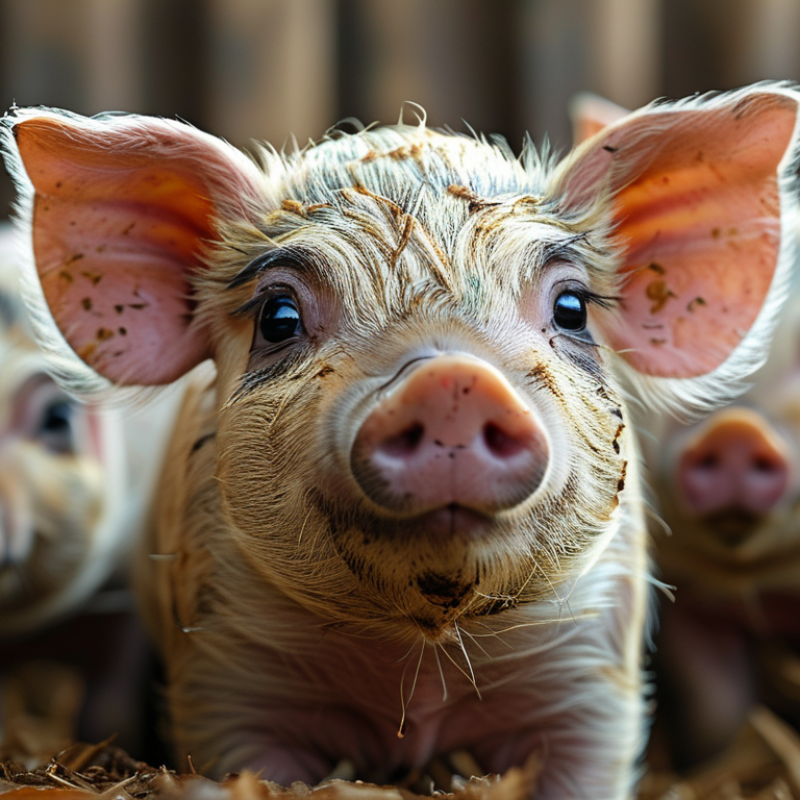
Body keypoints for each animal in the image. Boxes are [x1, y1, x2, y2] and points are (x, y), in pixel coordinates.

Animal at [2, 84, 800, 799]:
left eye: (572, 308)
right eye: (278, 316)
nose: (450, 382)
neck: (417, 674)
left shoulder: (590, 683)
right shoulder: (227, 681)